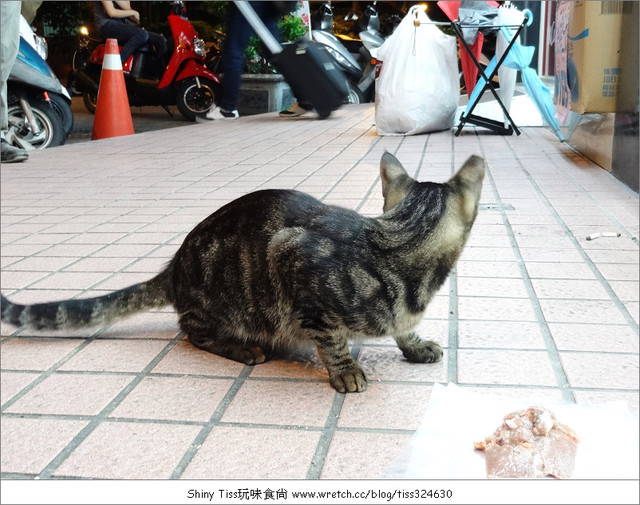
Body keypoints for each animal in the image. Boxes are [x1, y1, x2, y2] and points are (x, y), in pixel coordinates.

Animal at [1, 152, 484, 392]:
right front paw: (345, 368)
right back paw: (242, 348)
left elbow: (403, 329)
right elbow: (330, 339)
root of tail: (174, 267)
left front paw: (414, 343)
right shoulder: (290, 254)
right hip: (226, 301)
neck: (397, 241)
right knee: (190, 331)